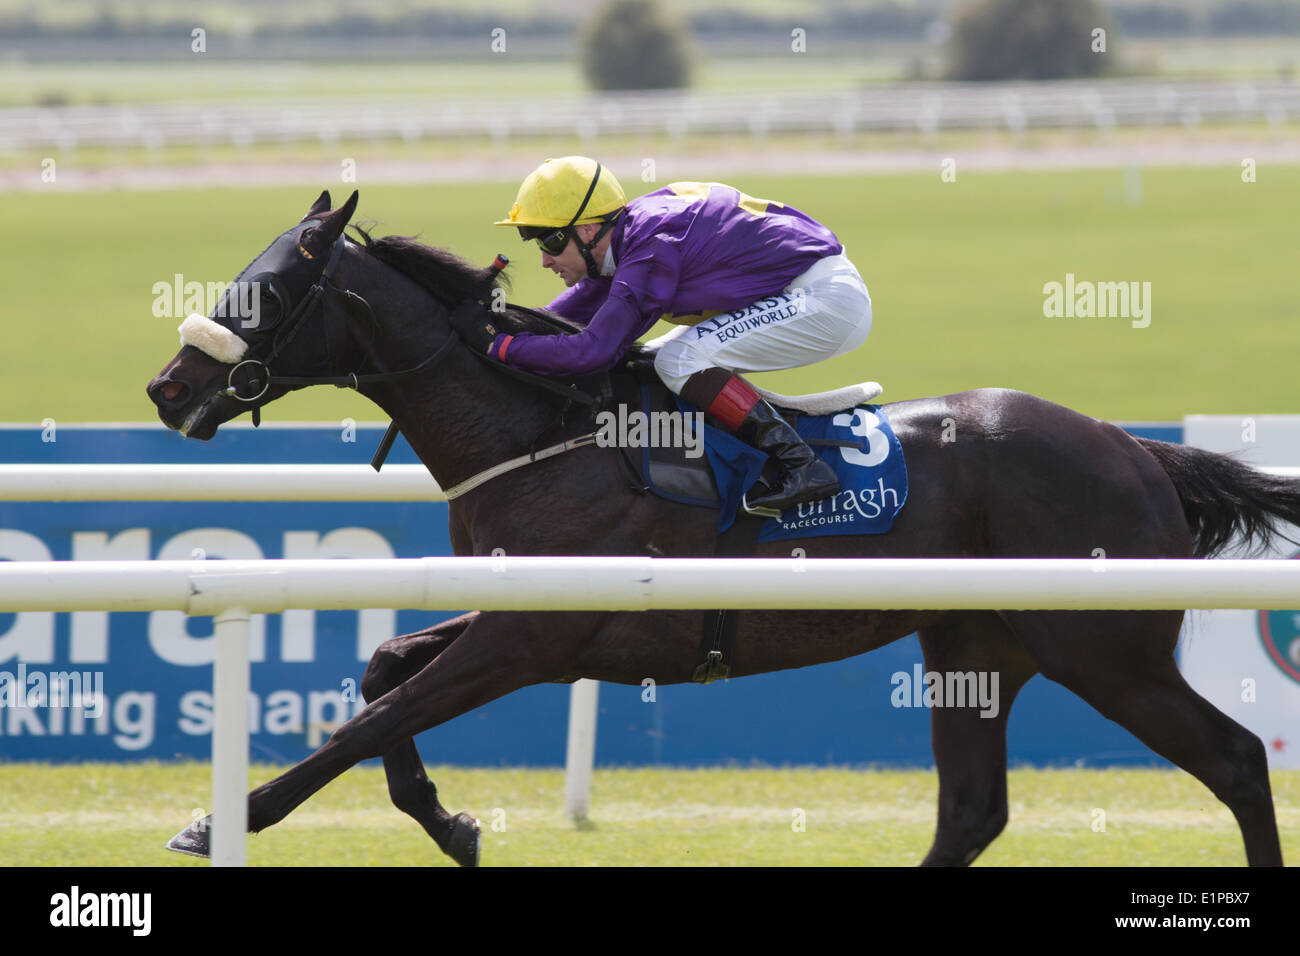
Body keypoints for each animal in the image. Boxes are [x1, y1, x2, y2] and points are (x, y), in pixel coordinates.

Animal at [147, 188, 1294, 868]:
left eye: (269, 290)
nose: (168, 386)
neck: (542, 429)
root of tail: (1140, 451)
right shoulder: (522, 610)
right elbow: (385, 671)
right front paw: (451, 818)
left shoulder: (533, 637)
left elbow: (363, 721)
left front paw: (223, 817)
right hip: (976, 643)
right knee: (973, 808)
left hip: (1103, 647)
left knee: (1238, 760)